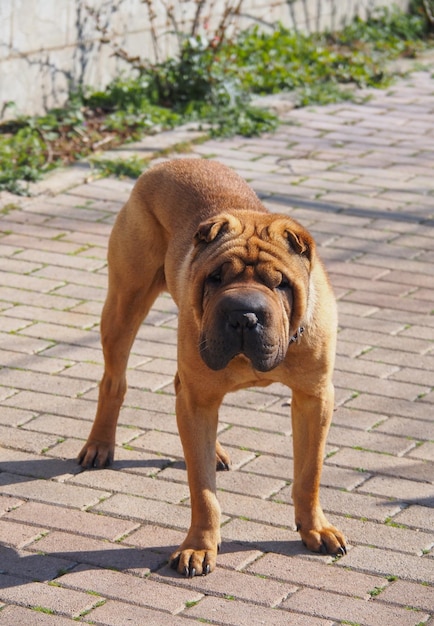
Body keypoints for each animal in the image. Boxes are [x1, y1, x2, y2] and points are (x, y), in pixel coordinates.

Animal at [79, 157, 346, 576]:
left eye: (280, 283)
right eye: (216, 277)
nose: (244, 315)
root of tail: (166, 163)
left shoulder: (314, 397)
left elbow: (310, 472)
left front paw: (315, 528)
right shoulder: (200, 398)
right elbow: (202, 490)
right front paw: (199, 546)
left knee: (179, 391)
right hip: (125, 303)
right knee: (114, 381)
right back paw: (99, 446)